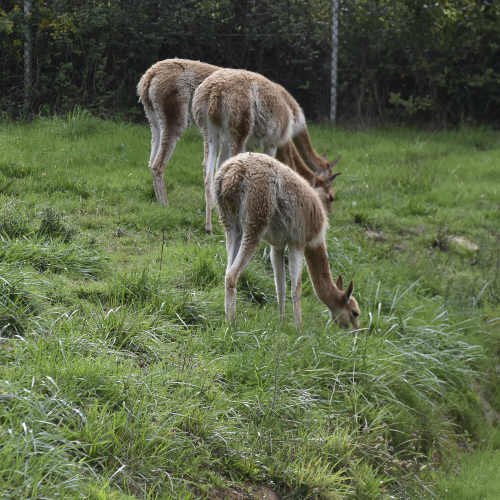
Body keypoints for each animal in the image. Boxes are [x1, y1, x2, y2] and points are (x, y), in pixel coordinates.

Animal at [138, 60, 340, 212]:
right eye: (331, 197)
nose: (327, 214)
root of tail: (149, 76)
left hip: (155, 121)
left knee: (151, 160)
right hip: (176, 117)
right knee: (158, 164)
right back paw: (165, 205)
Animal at [193, 68, 341, 233]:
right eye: (331, 197)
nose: (330, 215)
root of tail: (215, 91)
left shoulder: (250, 145)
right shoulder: (273, 142)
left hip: (210, 130)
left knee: (208, 172)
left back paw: (209, 226)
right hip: (239, 127)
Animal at [214, 152, 361, 330]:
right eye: (355, 313)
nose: (357, 331)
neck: (317, 238)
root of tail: (233, 172)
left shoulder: (277, 246)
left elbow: (280, 286)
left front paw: (281, 323)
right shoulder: (298, 243)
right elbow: (296, 288)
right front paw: (299, 328)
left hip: (230, 224)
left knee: (227, 270)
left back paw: (229, 319)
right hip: (255, 221)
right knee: (231, 275)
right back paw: (232, 323)